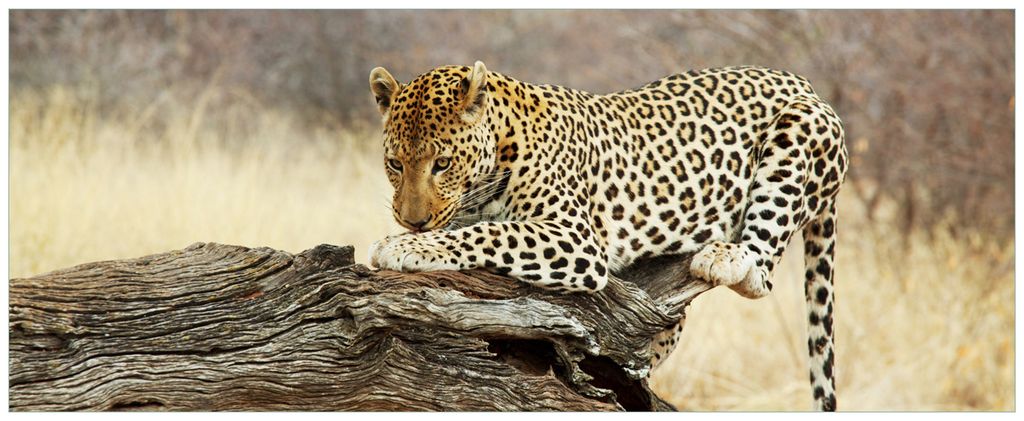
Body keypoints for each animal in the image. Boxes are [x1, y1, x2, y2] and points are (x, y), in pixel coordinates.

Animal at [366, 61, 847, 411]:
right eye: (394, 164)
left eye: (443, 164)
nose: (412, 221)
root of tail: (803, 81)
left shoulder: (575, 238)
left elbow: (491, 233)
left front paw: (403, 246)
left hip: (798, 132)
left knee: (761, 272)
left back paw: (725, 257)